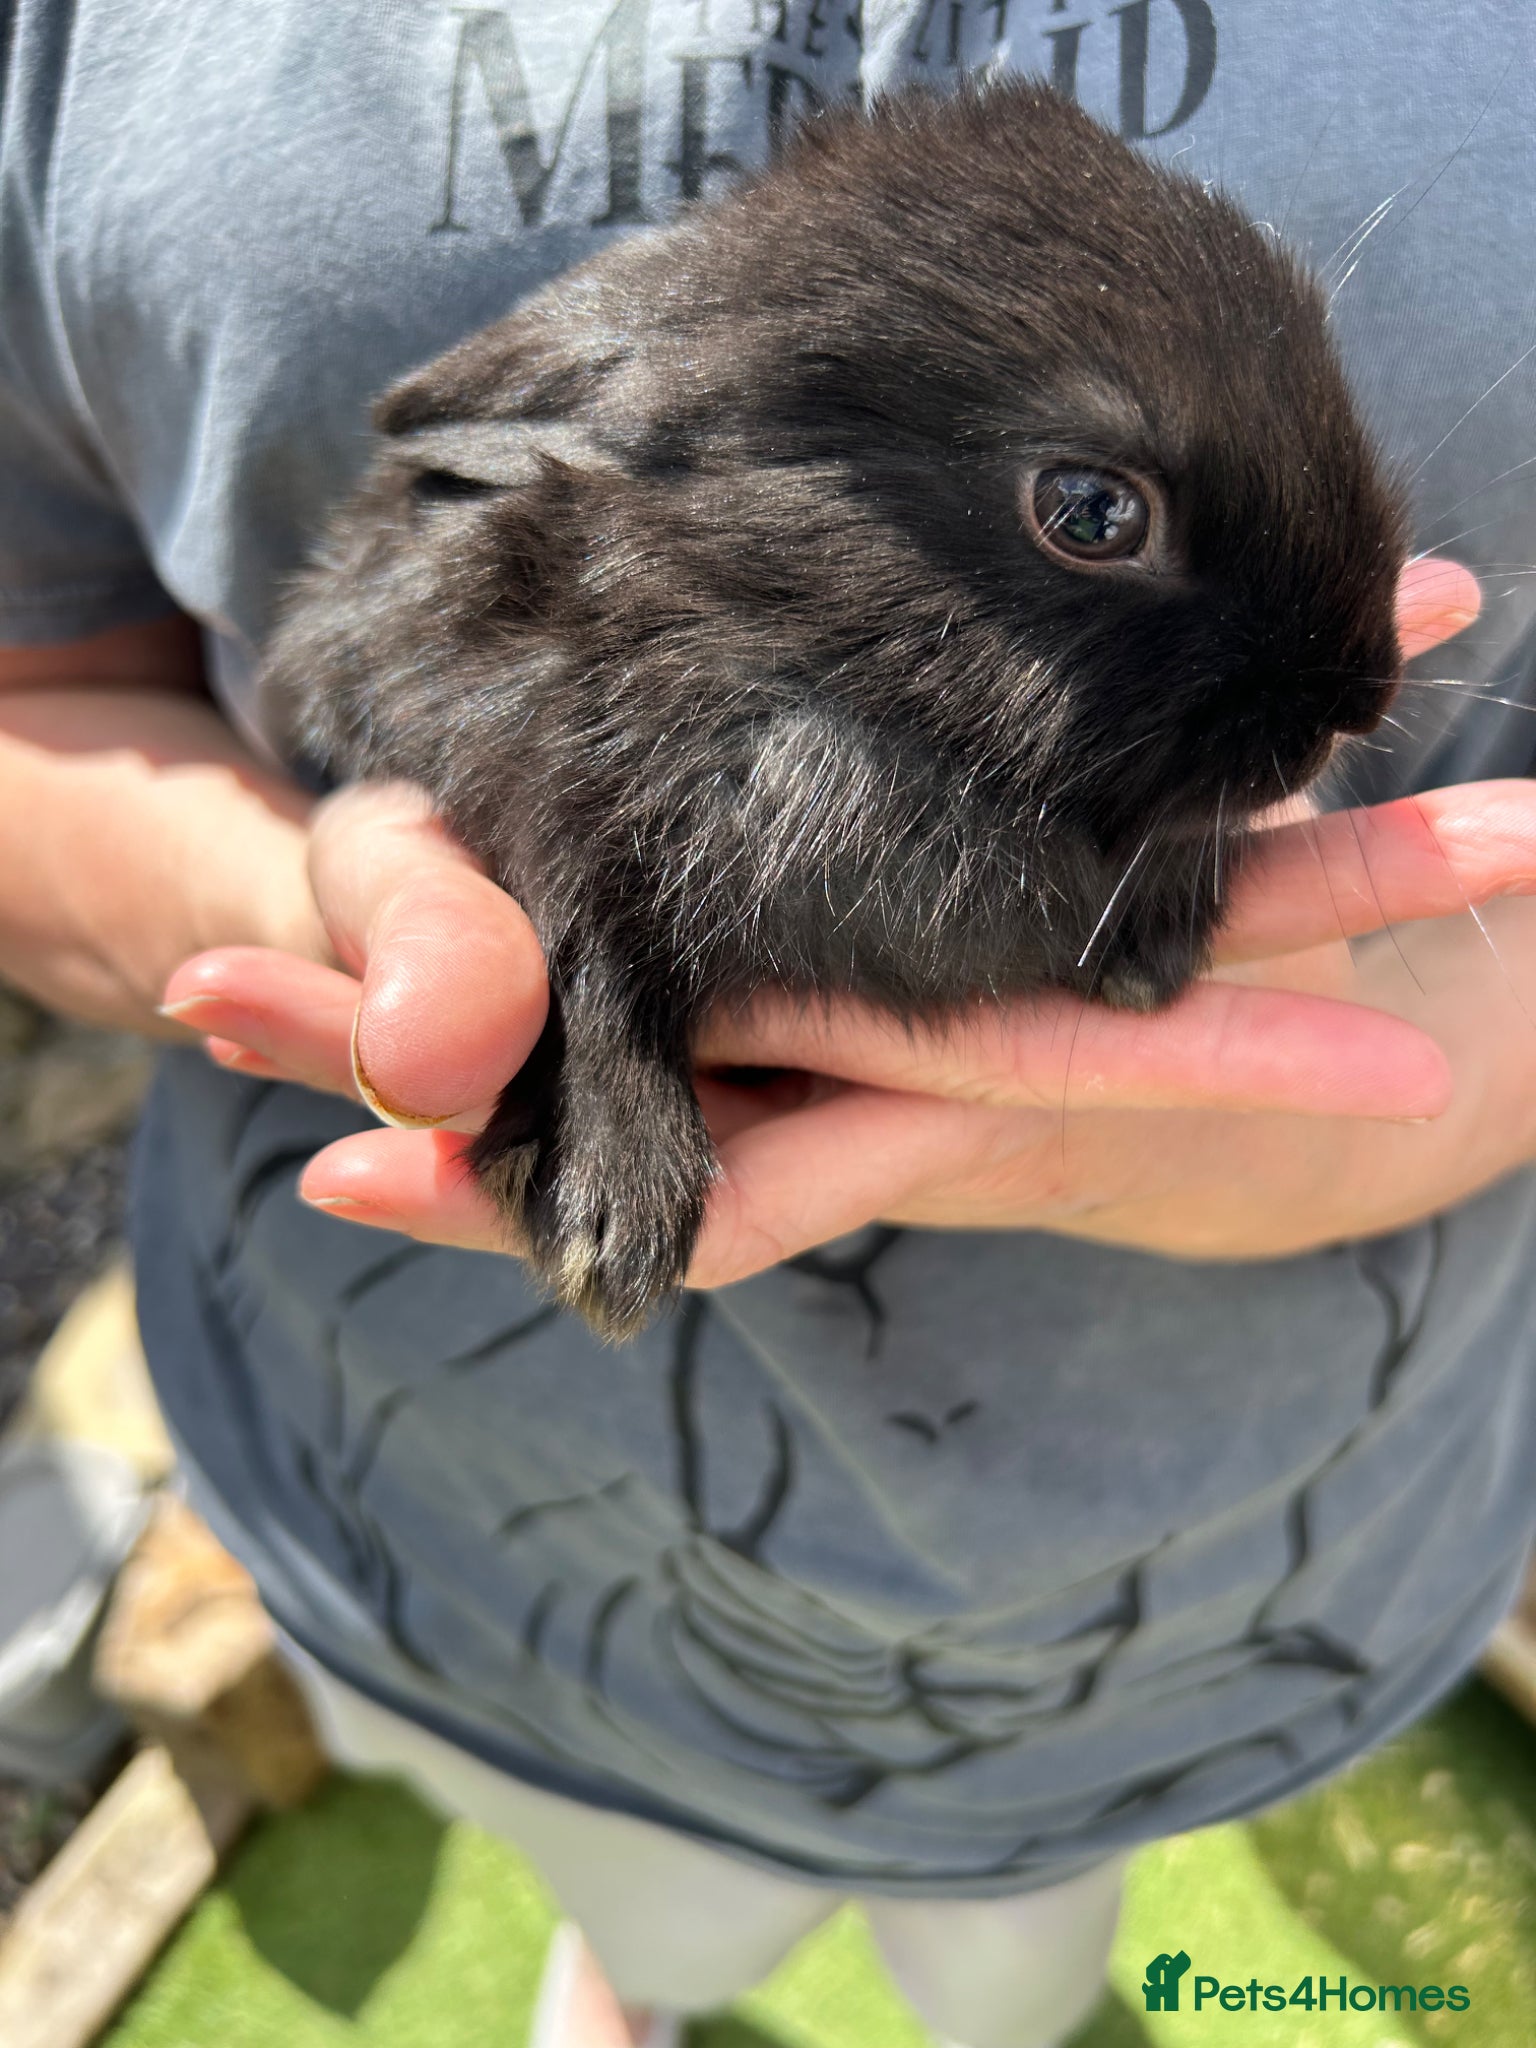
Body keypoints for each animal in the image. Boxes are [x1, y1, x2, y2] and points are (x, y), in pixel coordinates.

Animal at [261, 76, 1409, 1340]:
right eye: (1092, 511)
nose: (1357, 700)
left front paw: (1147, 959)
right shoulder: (526, 771)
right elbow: (586, 955)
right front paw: (613, 1217)